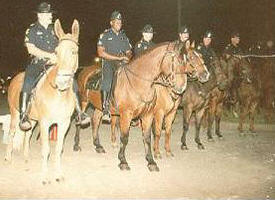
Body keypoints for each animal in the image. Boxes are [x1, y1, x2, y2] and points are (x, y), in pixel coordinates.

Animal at [4, 19, 80, 184]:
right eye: (56, 52)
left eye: (74, 52)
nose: (62, 82)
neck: (58, 94)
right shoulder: (45, 123)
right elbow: (46, 150)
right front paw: (44, 177)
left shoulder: (64, 123)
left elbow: (58, 149)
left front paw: (58, 174)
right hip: (15, 114)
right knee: (12, 133)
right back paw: (8, 157)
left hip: (32, 119)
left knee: (27, 134)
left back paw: (26, 157)